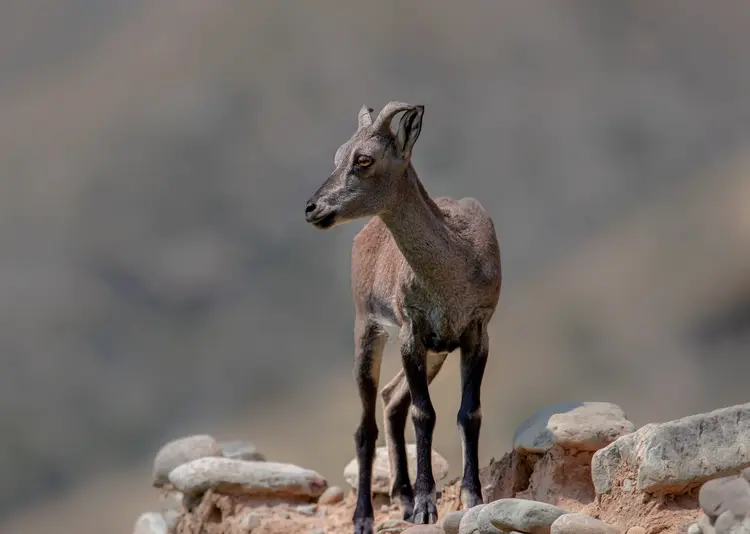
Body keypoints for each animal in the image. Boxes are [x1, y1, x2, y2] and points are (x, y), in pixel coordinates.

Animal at [306, 102, 506, 532]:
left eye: (364, 159)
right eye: (338, 155)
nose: (312, 208)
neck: (454, 266)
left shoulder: (475, 332)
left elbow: (469, 413)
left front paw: (471, 495)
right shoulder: (411, 332)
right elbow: (424, 413)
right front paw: (427, 505)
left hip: (435, 353)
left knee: (391, 398)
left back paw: (402, 494)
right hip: (368, 329)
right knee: (365, 426)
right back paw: (365, 515)